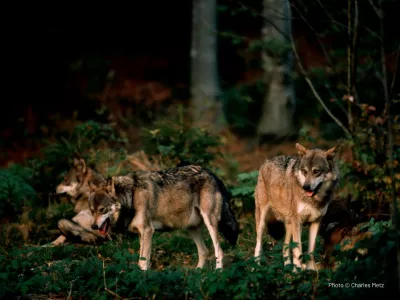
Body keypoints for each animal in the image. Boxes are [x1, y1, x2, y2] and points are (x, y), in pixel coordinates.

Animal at [88, 165, 239, 270]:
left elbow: (142, 263)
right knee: (204, 251)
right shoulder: (142, 234)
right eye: (92, 211)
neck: (131, 195)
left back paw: (217, 273)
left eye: (102, 210)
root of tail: (210, 172)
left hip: (209, 222)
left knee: (219, 251)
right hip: (191, 227)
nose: (93, 226)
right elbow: (142, 261)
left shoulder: (148, 231)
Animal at [255, 142, 340, 270]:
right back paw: (255, 268)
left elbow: (310, 251)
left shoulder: (316, 222)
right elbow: (298, 251)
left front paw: (310, 270)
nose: (306, 187)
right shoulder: (298, 222)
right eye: (304, 171)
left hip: (289, 224)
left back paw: (288, 269)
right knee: (258, 245)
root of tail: (266, 161)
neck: (314, 199)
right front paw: (300, 271)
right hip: (263, 221)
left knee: (285, 247)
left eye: (316, 171)